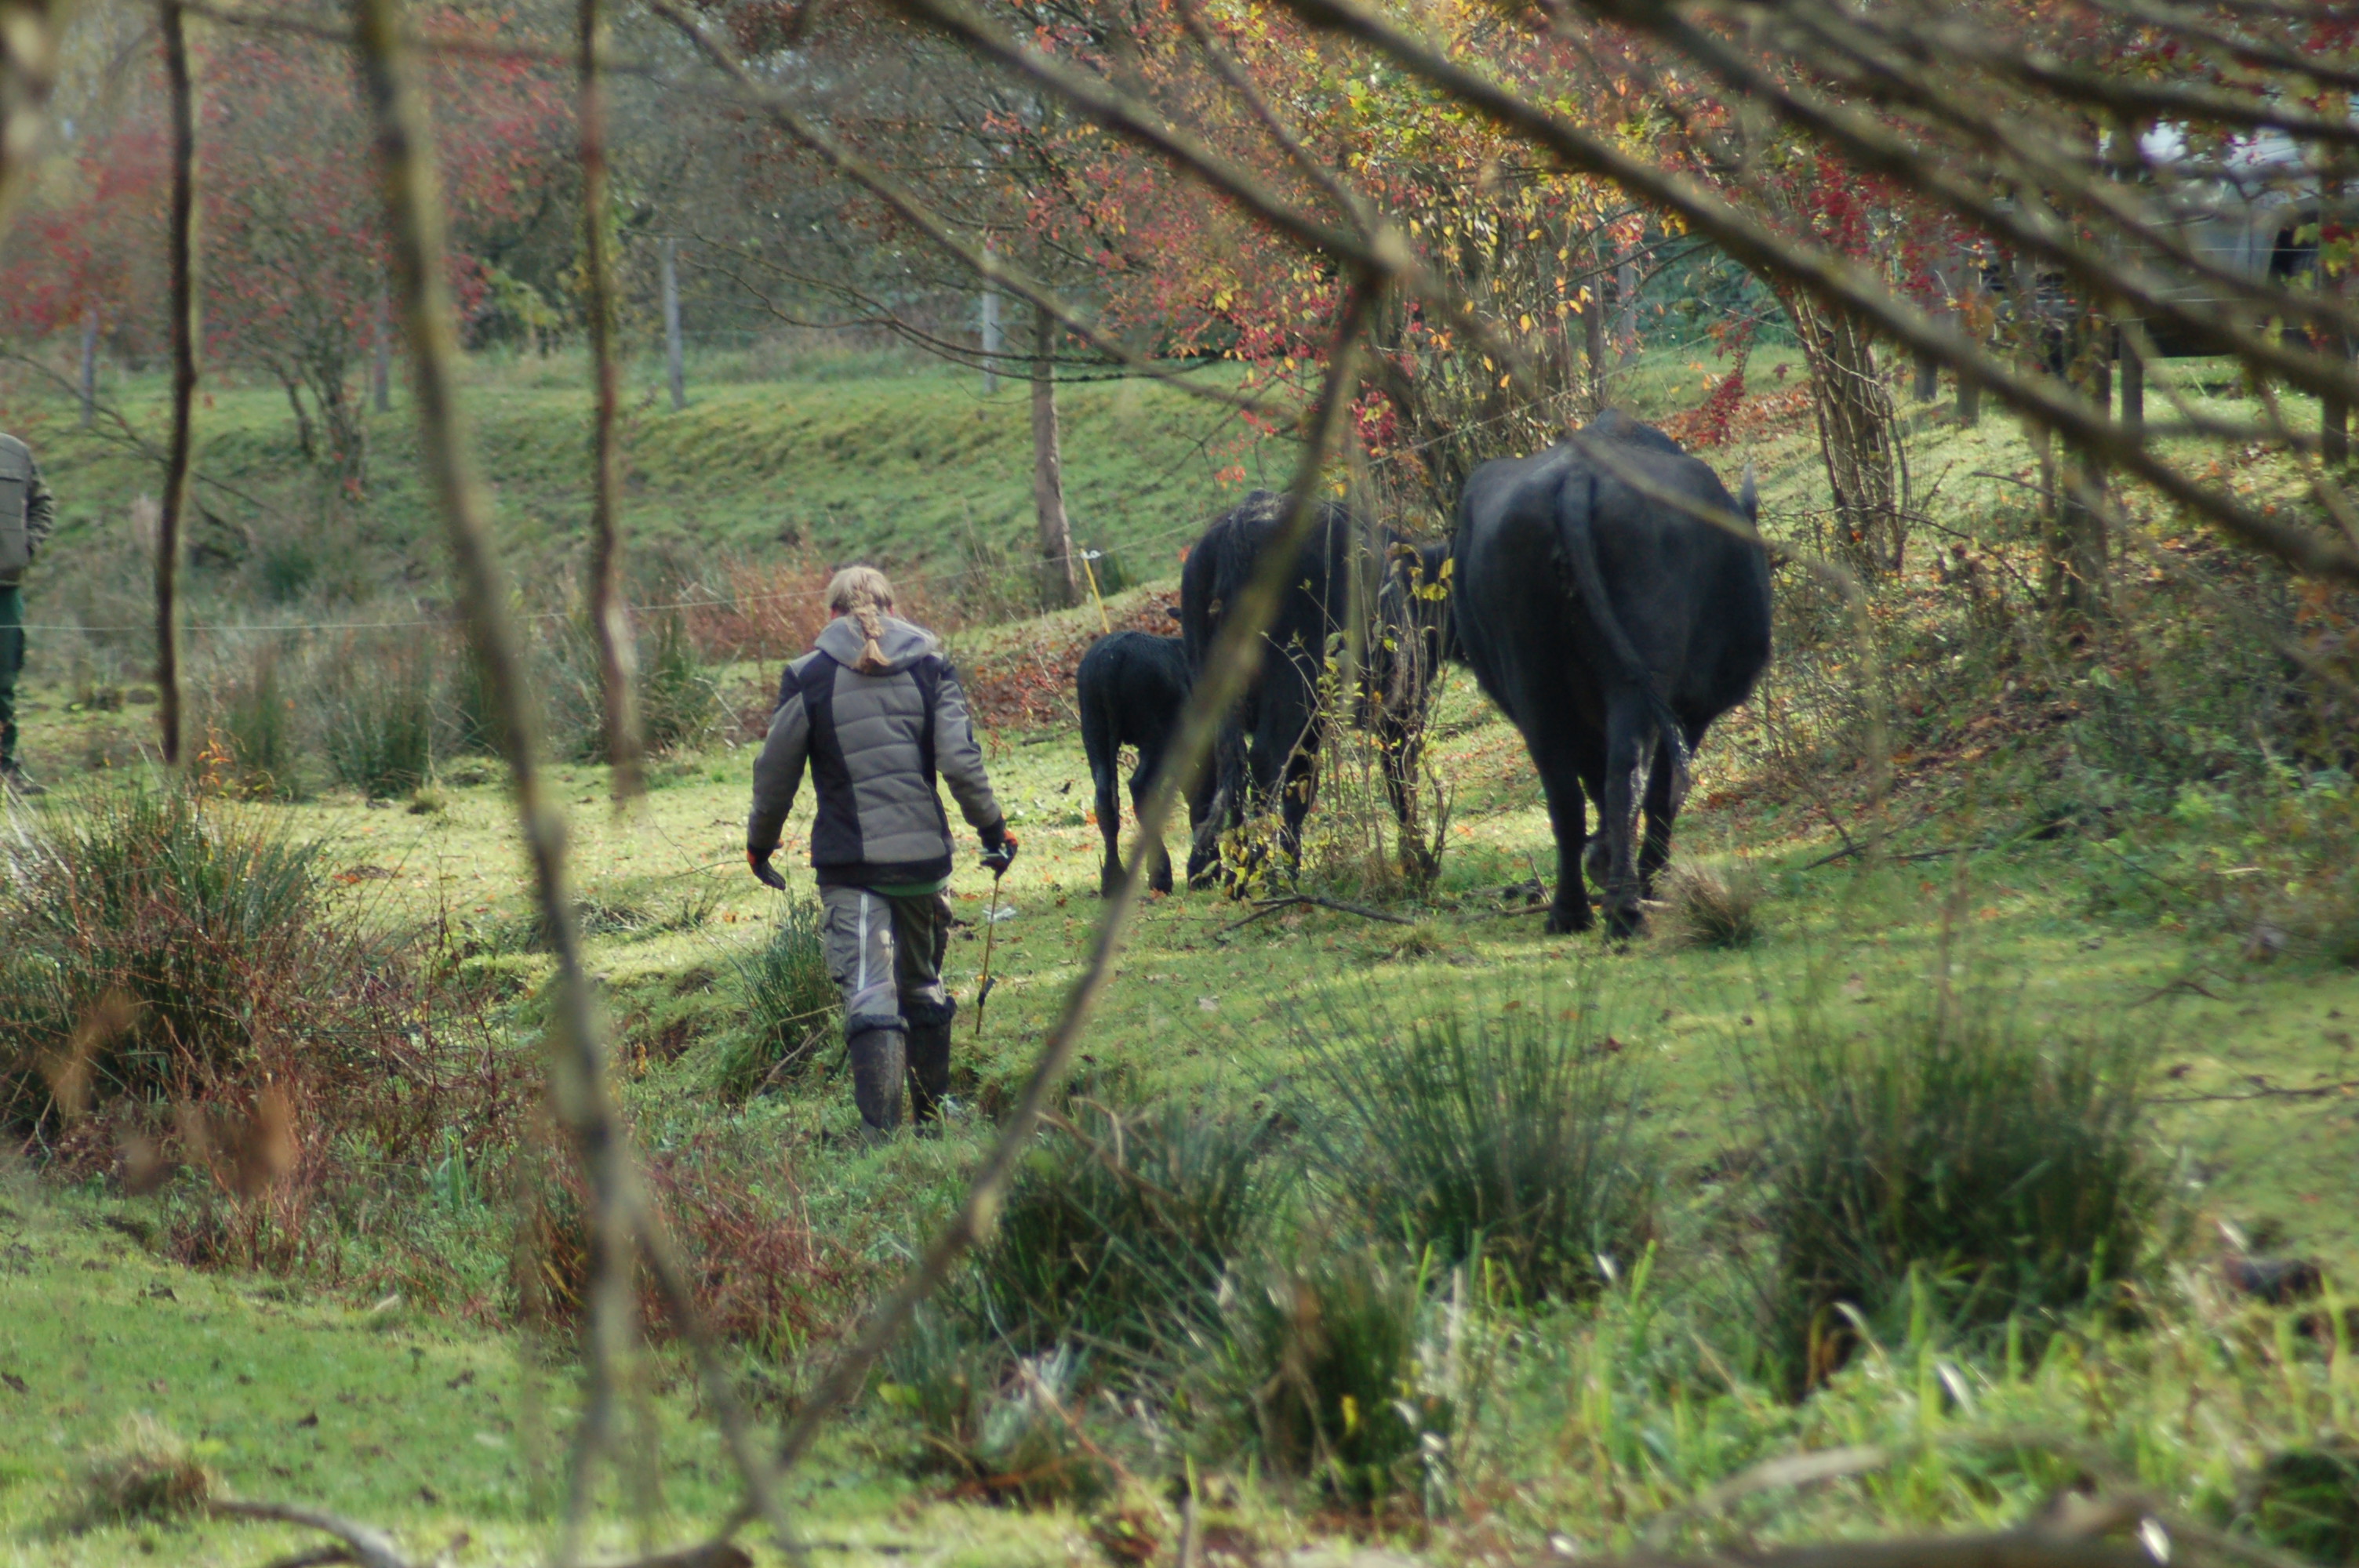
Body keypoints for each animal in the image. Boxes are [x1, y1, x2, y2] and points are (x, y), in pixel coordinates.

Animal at [1080, 622, 1208, 891]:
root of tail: (1110, 660)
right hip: (1157, 735)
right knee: (1141, 787)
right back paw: (1161, 874)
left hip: (1093, 729)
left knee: (1104, 797)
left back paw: (1112, 879)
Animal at [1452, 410, 1774, 933]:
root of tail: (1577, 479)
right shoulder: (1693, 709)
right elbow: (1663, 790)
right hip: (1640, 680)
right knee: (1630, 772)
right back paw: (1627, 909)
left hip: (1533, 682)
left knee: (1564, 790)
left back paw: (1571, 910)